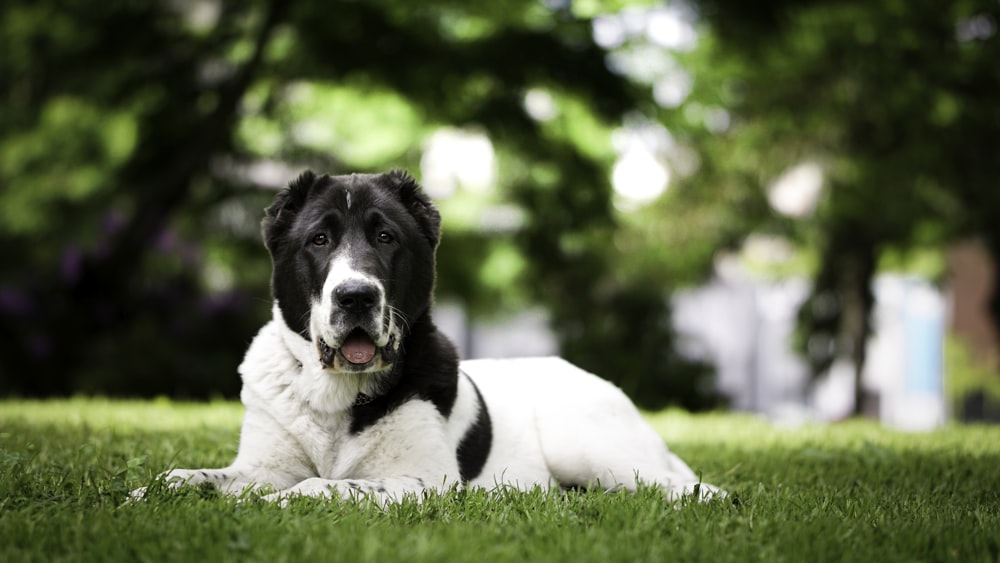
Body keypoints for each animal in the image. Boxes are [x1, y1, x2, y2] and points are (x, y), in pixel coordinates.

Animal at [145, 170, 716, 504]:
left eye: (385, 237)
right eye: (319, 239)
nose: (356, 296)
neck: (335, 394)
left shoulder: (425, 480)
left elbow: (328, 484)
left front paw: (281, 501)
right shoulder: (262, 464)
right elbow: (193, 477)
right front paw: (157, 491)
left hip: (592, 449)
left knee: (696, 488)